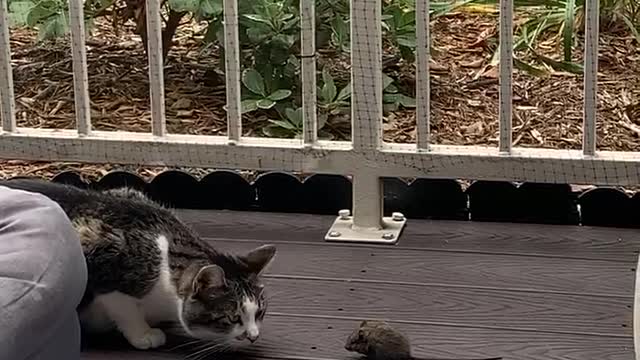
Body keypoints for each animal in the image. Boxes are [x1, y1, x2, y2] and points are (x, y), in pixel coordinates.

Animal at [0, 179, 276, 350]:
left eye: (260, 313)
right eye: (232, 317)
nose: (253, 336)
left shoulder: (126, 191)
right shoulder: (100, 253)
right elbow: (123, 307)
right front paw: (144, 334)